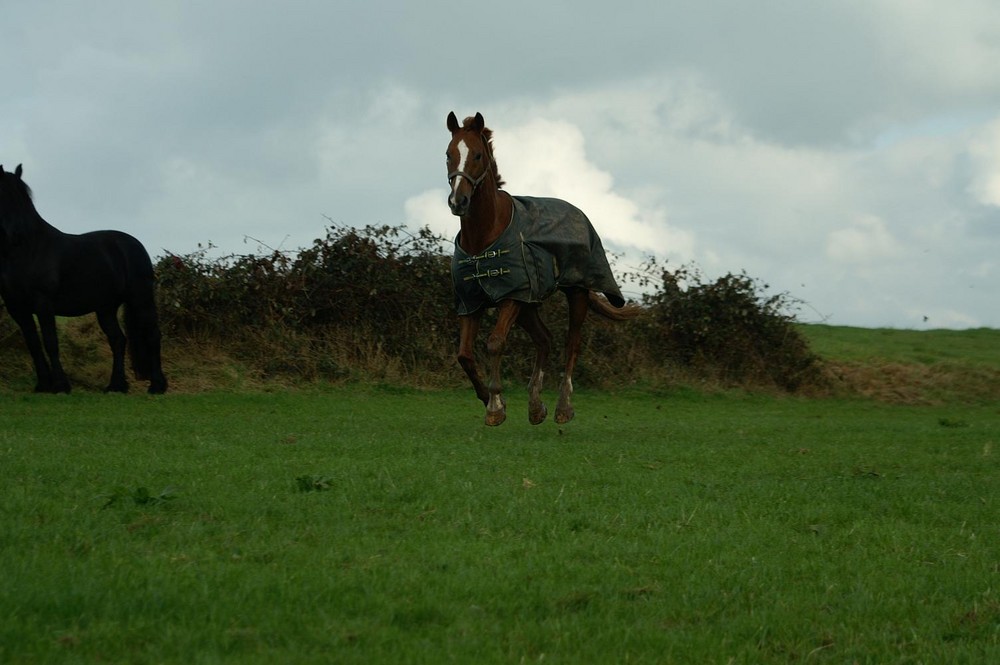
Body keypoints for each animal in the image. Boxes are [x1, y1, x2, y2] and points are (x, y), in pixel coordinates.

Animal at [0, 165, 166, 392]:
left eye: (22, 198)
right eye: (2, 196)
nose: (16, 235)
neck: (28, 251)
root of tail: (134, 244)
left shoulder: (43, 303)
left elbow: (51, 342)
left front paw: (61, 385)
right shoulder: (17, 308)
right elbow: (33, 345)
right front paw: (43, 385)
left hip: (140, 299)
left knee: (152, 335)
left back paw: (157, 386)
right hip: (106, 308)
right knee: (118, 340)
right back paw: (116, 386)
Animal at [448, 112, 640, 426]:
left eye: (477, 154)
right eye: (449, 154)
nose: (458, 201)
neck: (485, 236)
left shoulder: (512, 297)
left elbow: (495, 342)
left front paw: (496, 407)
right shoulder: (471, 303)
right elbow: (464, 354)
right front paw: (490, 400)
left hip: (576, 293)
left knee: (570, 343)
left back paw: (563, 407)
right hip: (529, 306)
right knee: (545, 340)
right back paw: (536, 406)